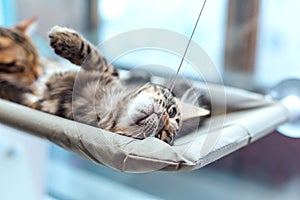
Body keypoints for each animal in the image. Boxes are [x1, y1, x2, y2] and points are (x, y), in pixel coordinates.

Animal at [35, 26, 180, 145]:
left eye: (159, 135)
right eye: (172, 112)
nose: (164, 117)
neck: (109, 105)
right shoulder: (109, 74)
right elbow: (93, 55)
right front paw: (65, 39)